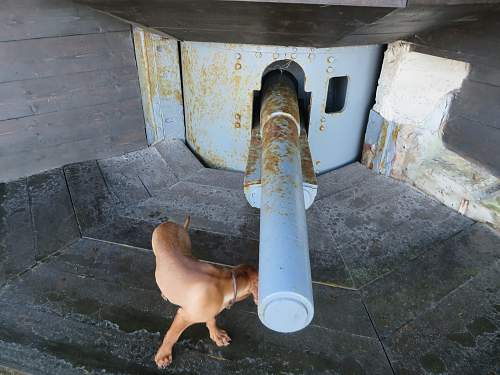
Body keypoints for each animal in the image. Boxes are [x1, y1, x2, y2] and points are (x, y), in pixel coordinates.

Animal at [152, 216, 258, 368]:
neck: (227, 282)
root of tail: (169, 223)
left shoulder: (208, 308)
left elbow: (211, 319)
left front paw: (217, 335)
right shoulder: (184, 315)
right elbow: (172, 336)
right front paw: (163, 355)